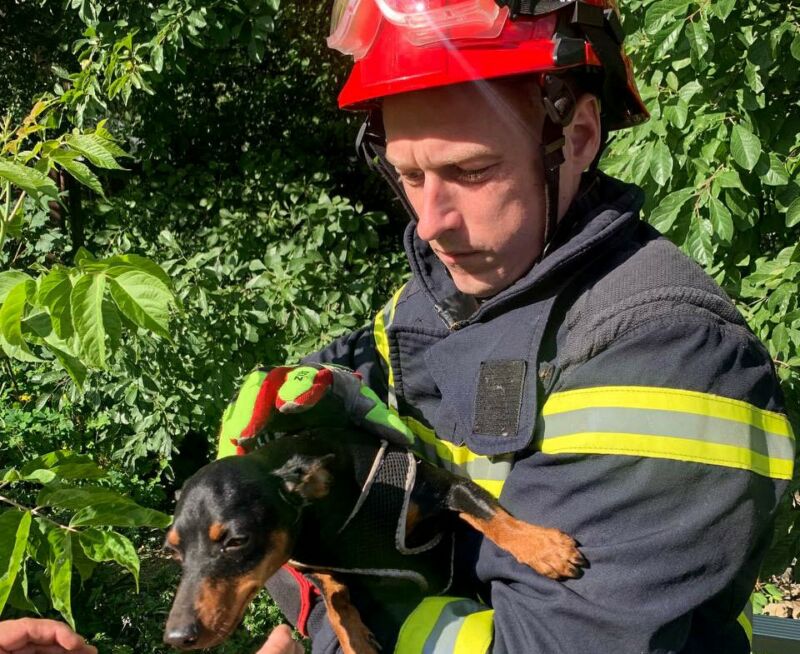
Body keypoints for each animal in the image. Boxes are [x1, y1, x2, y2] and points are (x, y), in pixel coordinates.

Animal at [164, 428, 588, 652]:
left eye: (236, 540)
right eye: (174, 551)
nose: (176, 637)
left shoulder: (444, 486)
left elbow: (490, 516)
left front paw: (544, 549)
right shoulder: (322, 567)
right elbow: (336, 604)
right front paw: (355, 640)